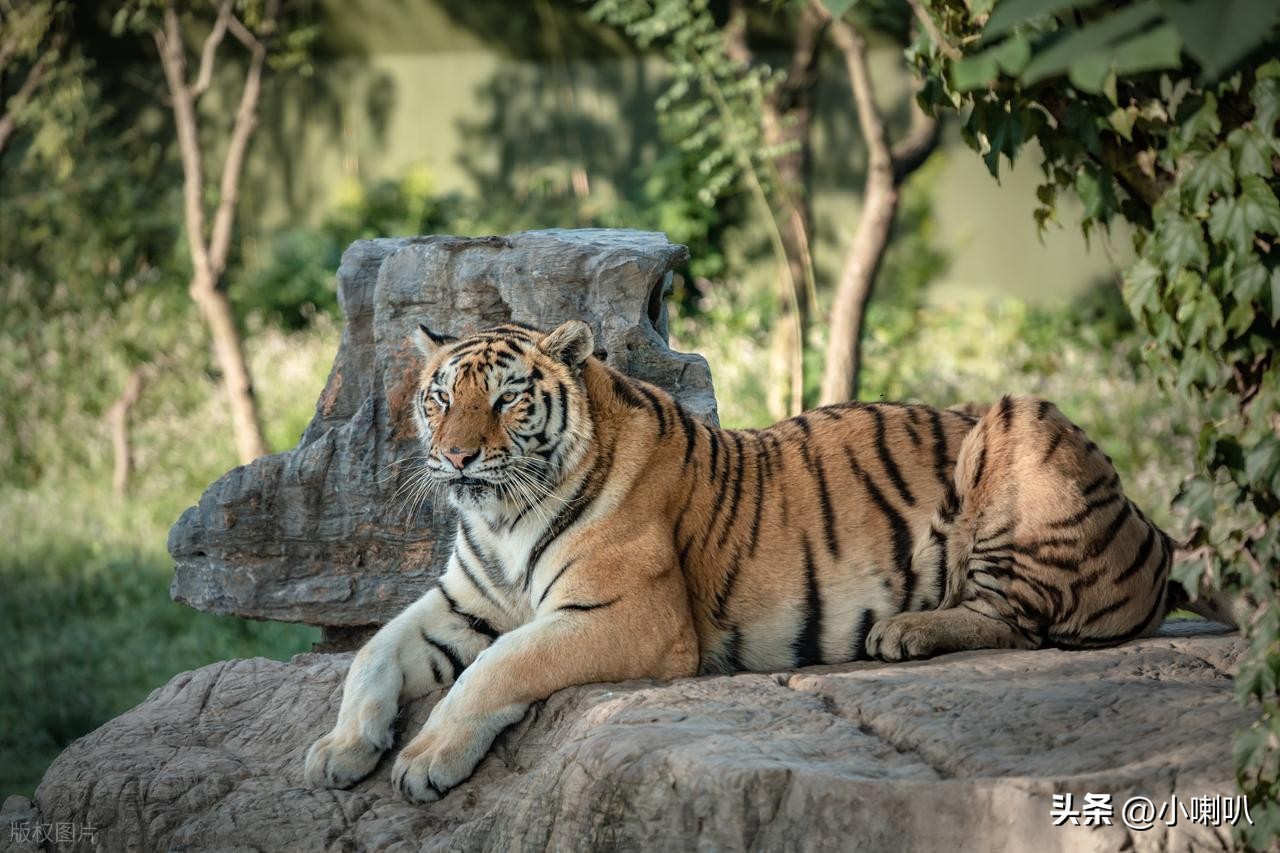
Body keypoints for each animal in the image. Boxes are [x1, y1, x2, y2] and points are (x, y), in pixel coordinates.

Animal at [304, 319, 1187, 803]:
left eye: (509, 399)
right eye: (439, 397)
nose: (454, 457)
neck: (502, 516)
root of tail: (1152, 529)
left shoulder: (631, 618)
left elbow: (500, 667)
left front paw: (423, 760)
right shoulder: (463, 601)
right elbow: (374, 652)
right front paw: (339, 748)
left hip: (1020, 419)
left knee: (1021, 621)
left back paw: (905, 632)